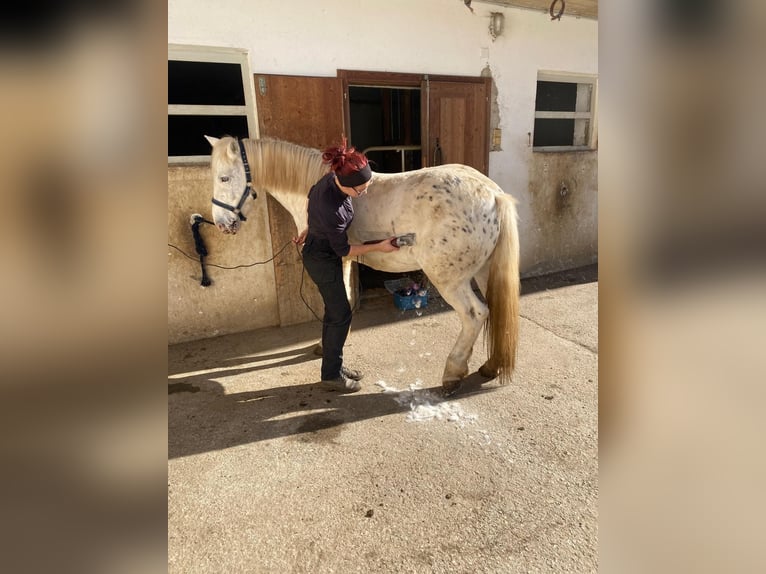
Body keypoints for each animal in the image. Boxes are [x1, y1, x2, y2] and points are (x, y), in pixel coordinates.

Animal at [206, 136, 520, 396]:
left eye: (224, 178)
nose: (221, 224)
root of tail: (493, 195)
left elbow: (334, 304)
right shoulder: (343, 260)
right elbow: (341, 302)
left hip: (450, 281)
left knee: (475, 315)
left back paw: (452, 375)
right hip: (484, 272)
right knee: (494, 311)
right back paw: (490, 367)